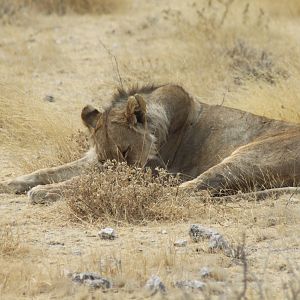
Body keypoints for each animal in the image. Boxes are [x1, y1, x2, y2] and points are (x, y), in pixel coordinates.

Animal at [0, 83, 300, 203]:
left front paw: (44, 191)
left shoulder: (150, 171)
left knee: (191, 189)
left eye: (126, 151)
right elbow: (52, 170)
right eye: (105, 159)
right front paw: (13, 183)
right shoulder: (92, 161)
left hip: (248, 155)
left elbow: (84, 181)